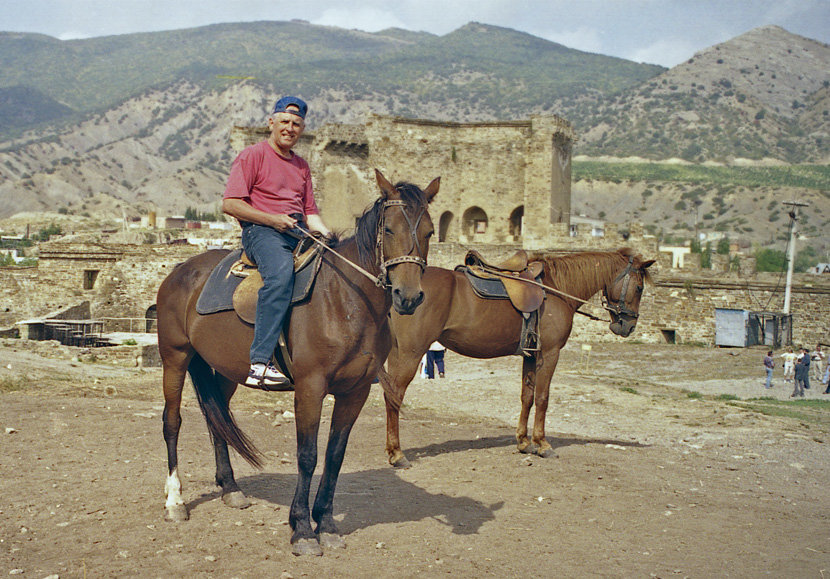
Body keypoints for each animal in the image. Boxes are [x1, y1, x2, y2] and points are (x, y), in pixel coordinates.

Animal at [158, 170, 442, 556]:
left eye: (429, 231)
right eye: (389, 229)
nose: (408, 297)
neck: (344, 298)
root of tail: (180, 270)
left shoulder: (355, 392)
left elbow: (335, 455)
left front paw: (327, 524)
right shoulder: (310, 388)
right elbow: (307, 456)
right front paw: (303, 530)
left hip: (226, 369)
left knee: (219, 419)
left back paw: (230, 489)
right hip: (174, 357)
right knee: (172, 422)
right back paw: (175, 501)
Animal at [384, 249, 656, 466]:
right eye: (639, 287)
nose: (628, 326)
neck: (556, 290)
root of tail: (401, 289)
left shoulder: (530, 356)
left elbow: (527, 397)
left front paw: (524, 442)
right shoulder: (550, 353)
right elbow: (543, 398)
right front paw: (543, 444)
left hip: (397, 353)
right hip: (410, 354)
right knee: (395, 395)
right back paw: (397, 454)